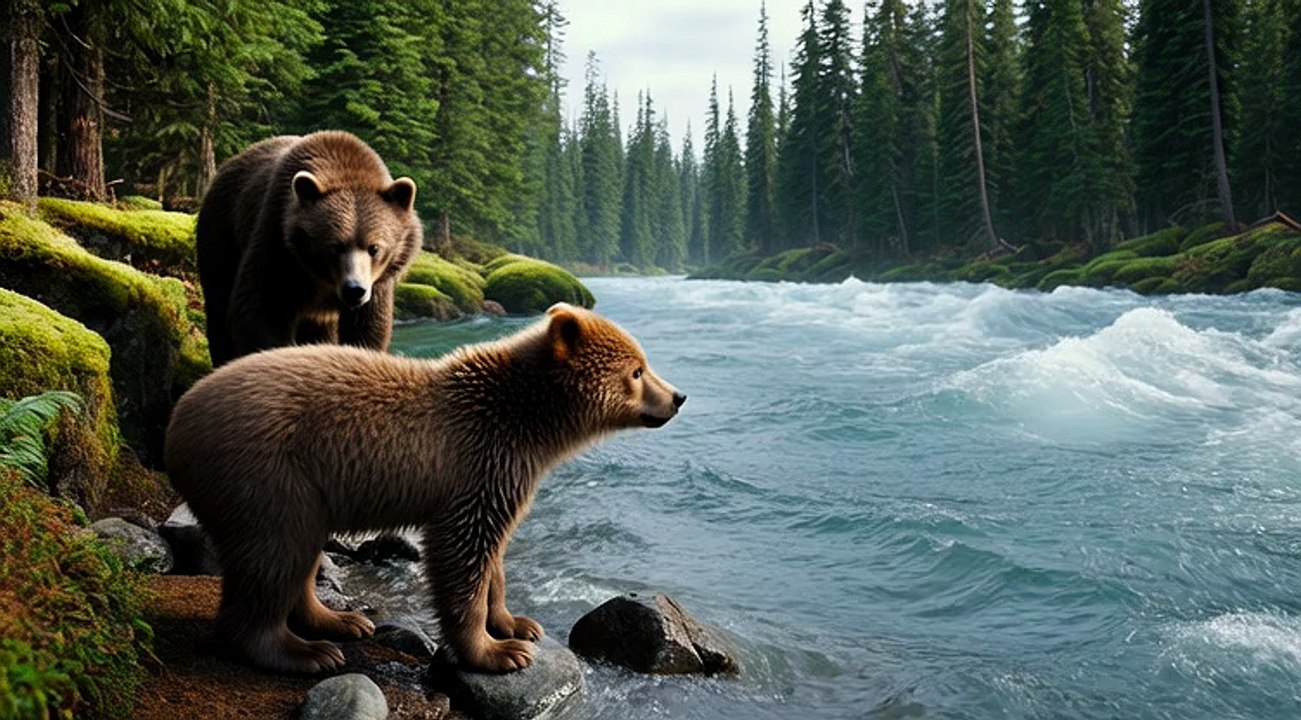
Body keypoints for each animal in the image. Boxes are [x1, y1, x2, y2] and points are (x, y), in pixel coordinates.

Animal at [163, 303, 686, 674]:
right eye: (637, 371)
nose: (678, 396)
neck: (525, 420)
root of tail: (177, 422)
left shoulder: (500, 473)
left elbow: (493, 555)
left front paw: (516, 622)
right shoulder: (478, 464)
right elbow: (462, 554)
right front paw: (498, 652)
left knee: (299, 550)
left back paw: (339, 620)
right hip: (265, 472)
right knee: (275, 552)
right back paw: (302, 651)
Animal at [195, 130, 422, 367]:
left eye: (374, 247)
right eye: (335, 246)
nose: (354, 290)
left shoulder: (376, 285)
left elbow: (367, 326)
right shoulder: (276, 239)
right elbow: (260, 307)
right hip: (221, 231)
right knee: (218, 299)